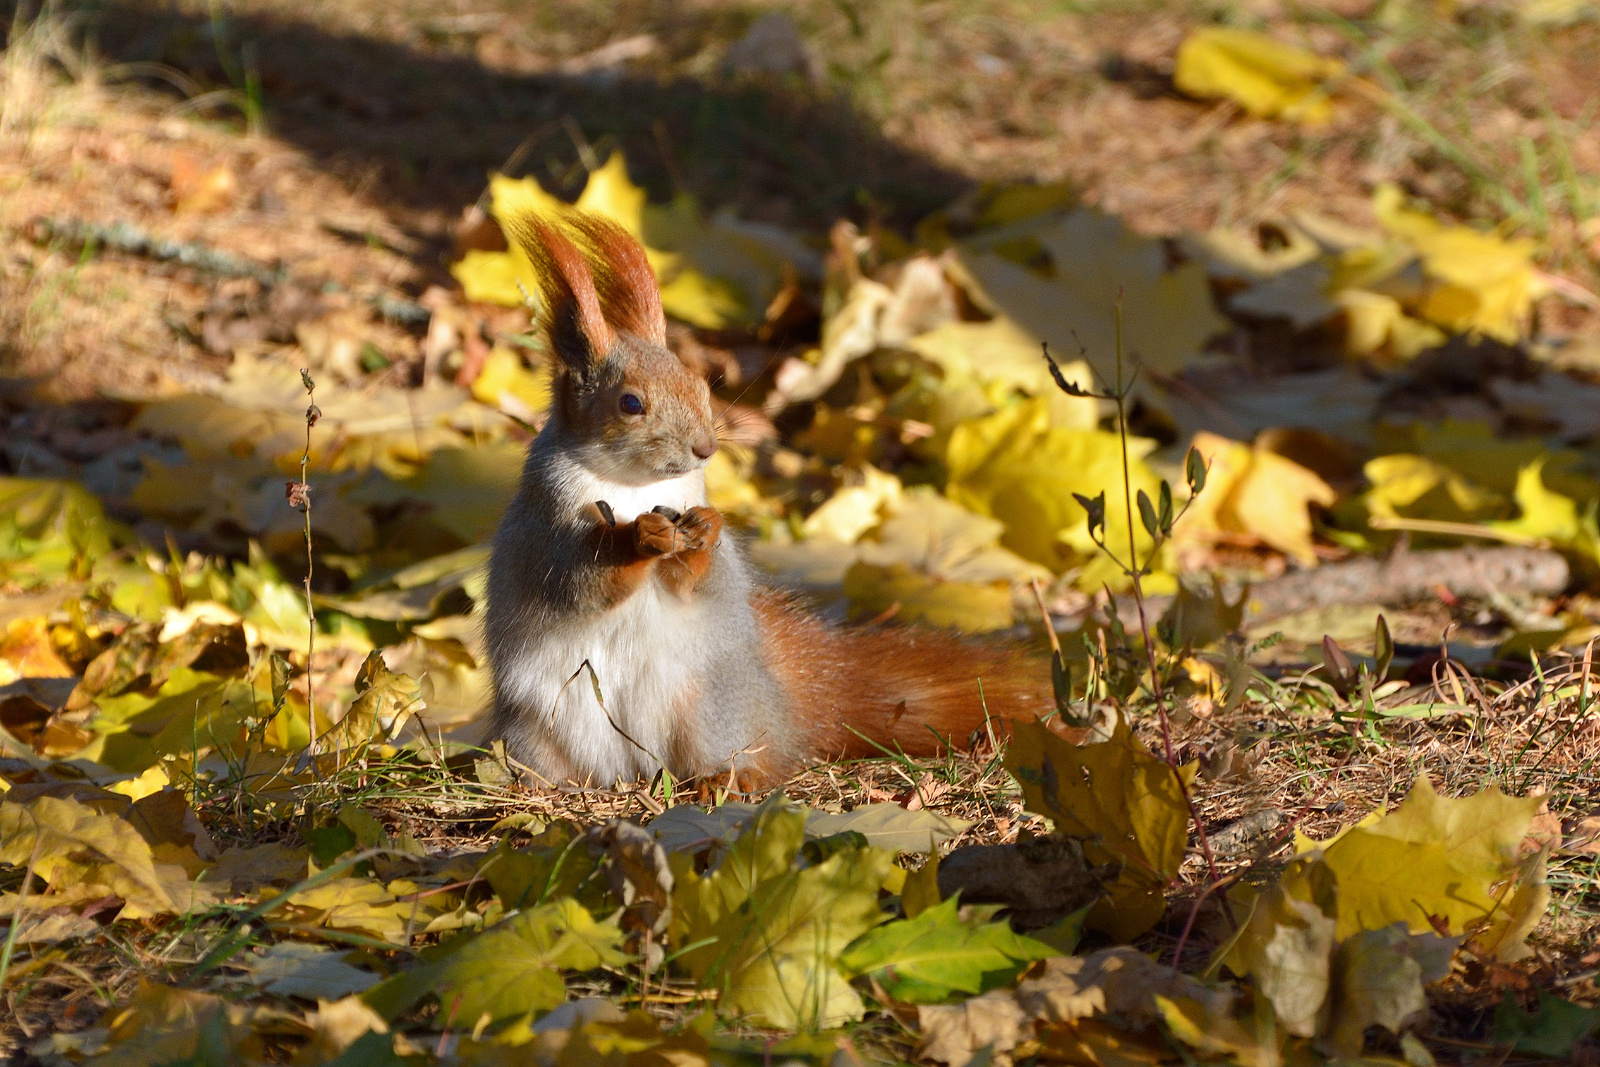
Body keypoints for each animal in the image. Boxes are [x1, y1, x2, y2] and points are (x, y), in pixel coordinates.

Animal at [480, 211, 1049, 793]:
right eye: (631, 403)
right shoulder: (544, 524)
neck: (636, 486)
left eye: (700, 387)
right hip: (535, 731)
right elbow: (578, 579)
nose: (705, 448)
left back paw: (728, 776)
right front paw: (636, 540)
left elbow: (705, 581)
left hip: (709, 710)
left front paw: (704, 533)